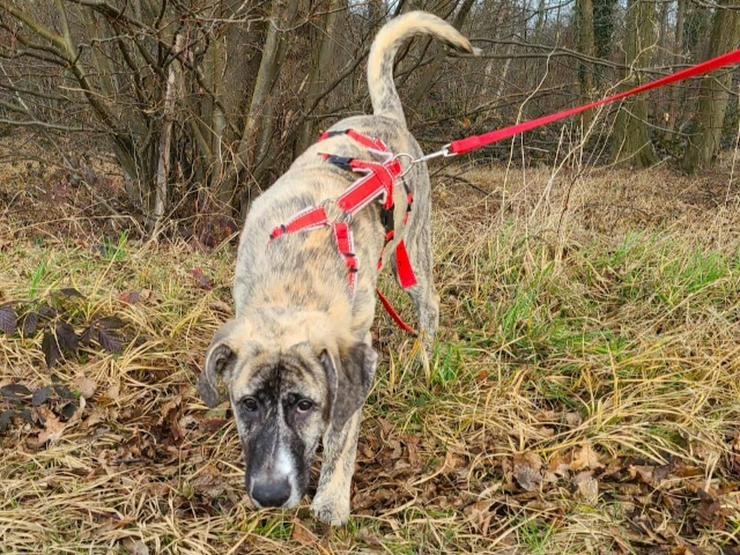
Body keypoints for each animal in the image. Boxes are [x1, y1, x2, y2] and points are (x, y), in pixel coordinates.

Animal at [195, 11, 474, 524]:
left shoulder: (353, 354)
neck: (294, 280)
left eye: (305, 404)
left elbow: (343, 435)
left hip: (414, 253)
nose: (269, 495)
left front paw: (330, 499)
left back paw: (424, 356)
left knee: (429, 305)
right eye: (247, 404)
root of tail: (387, 118)